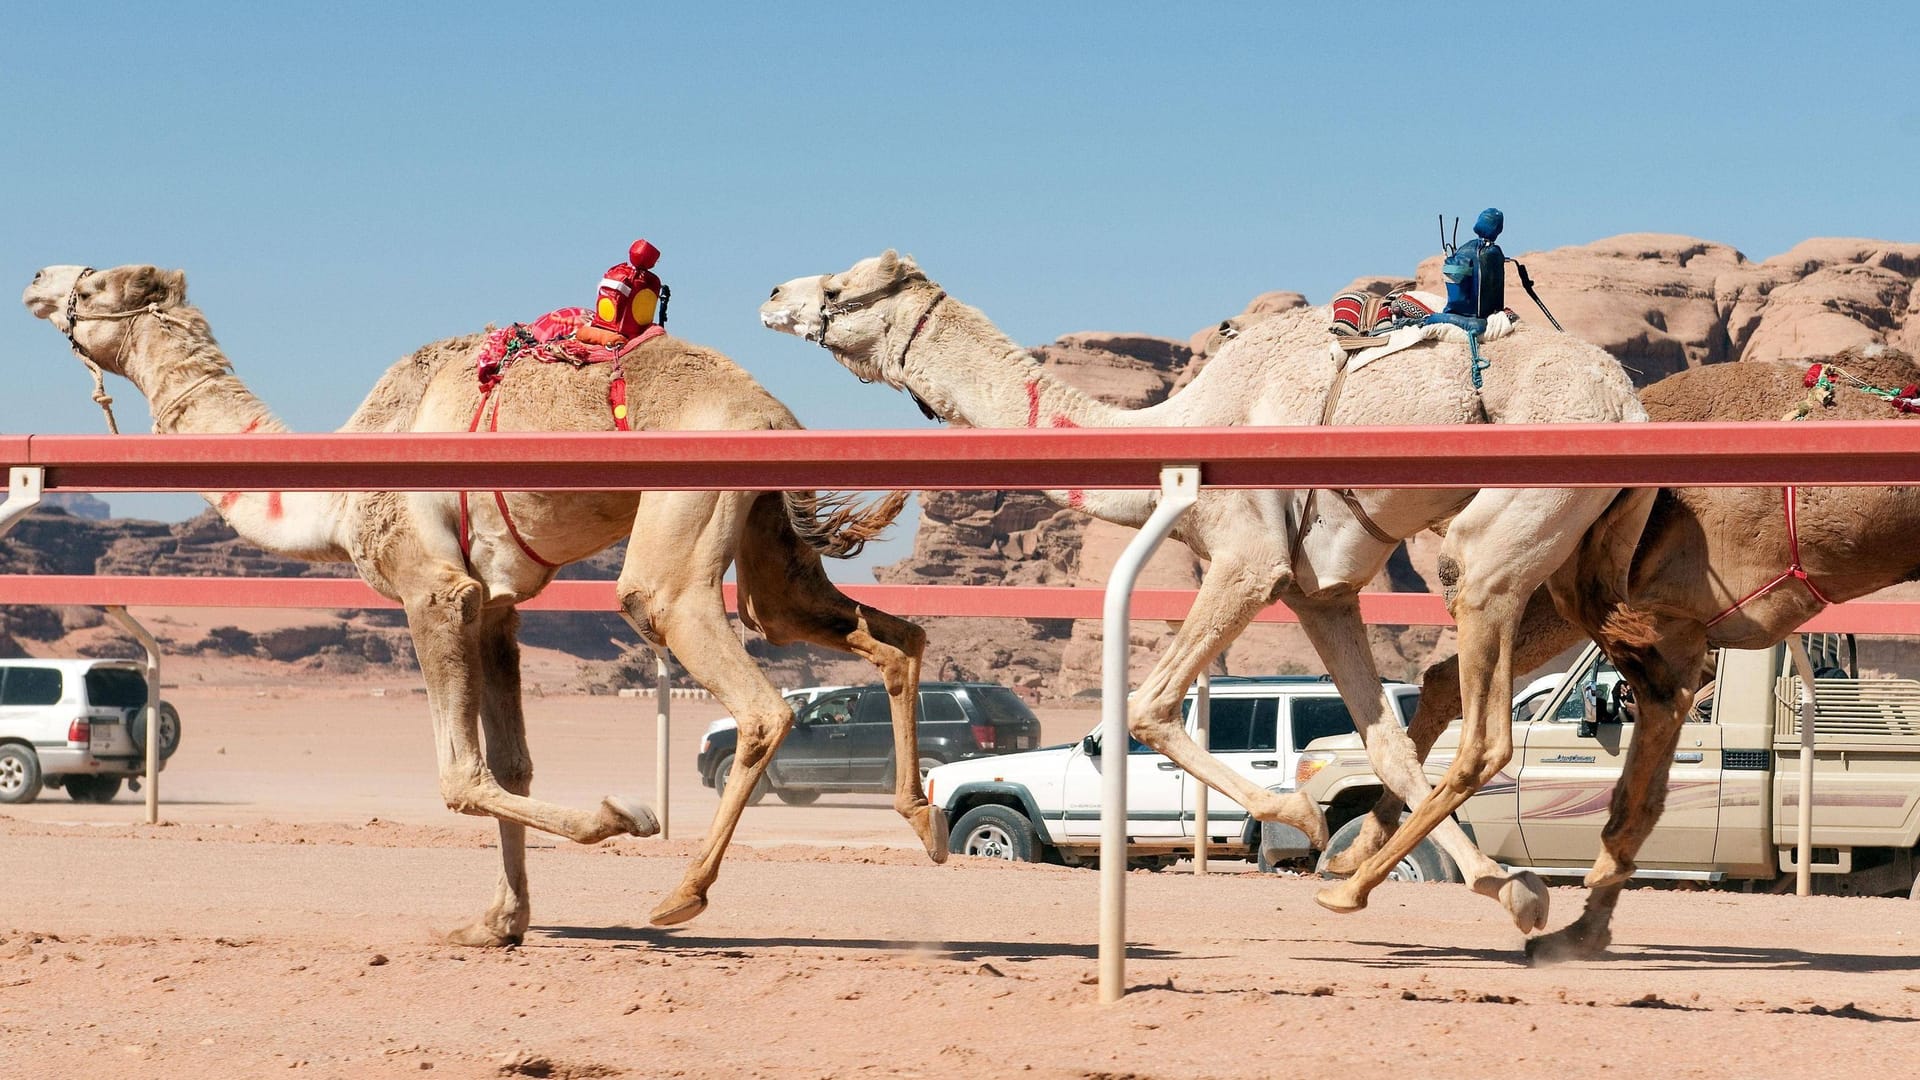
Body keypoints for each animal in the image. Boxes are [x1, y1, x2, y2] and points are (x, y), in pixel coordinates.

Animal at [15, 263, 944, 941]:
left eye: (99, 285)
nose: (36, 277)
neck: (341, 482)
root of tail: (775, 415)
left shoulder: (433, 590)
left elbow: (461, 777)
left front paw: (621, 815)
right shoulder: (494, 607)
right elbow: (512, 764)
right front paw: (498, 921)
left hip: (683, 528)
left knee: (740, 686)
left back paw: (680, 894)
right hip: (766, 540)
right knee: (878, 633)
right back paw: (924, 821)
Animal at [760, 247, 1651, 930]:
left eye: (836, 291)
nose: (771, 295)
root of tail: (1632, 405)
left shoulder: (1247, 561)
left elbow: (1150, 706)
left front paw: (1299, 817)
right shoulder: (1320, 592)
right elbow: (1387, 747)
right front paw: (1508, 888)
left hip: (1502, 536)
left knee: (1489, 730)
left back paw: (1352, 887)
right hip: (1578, 556)